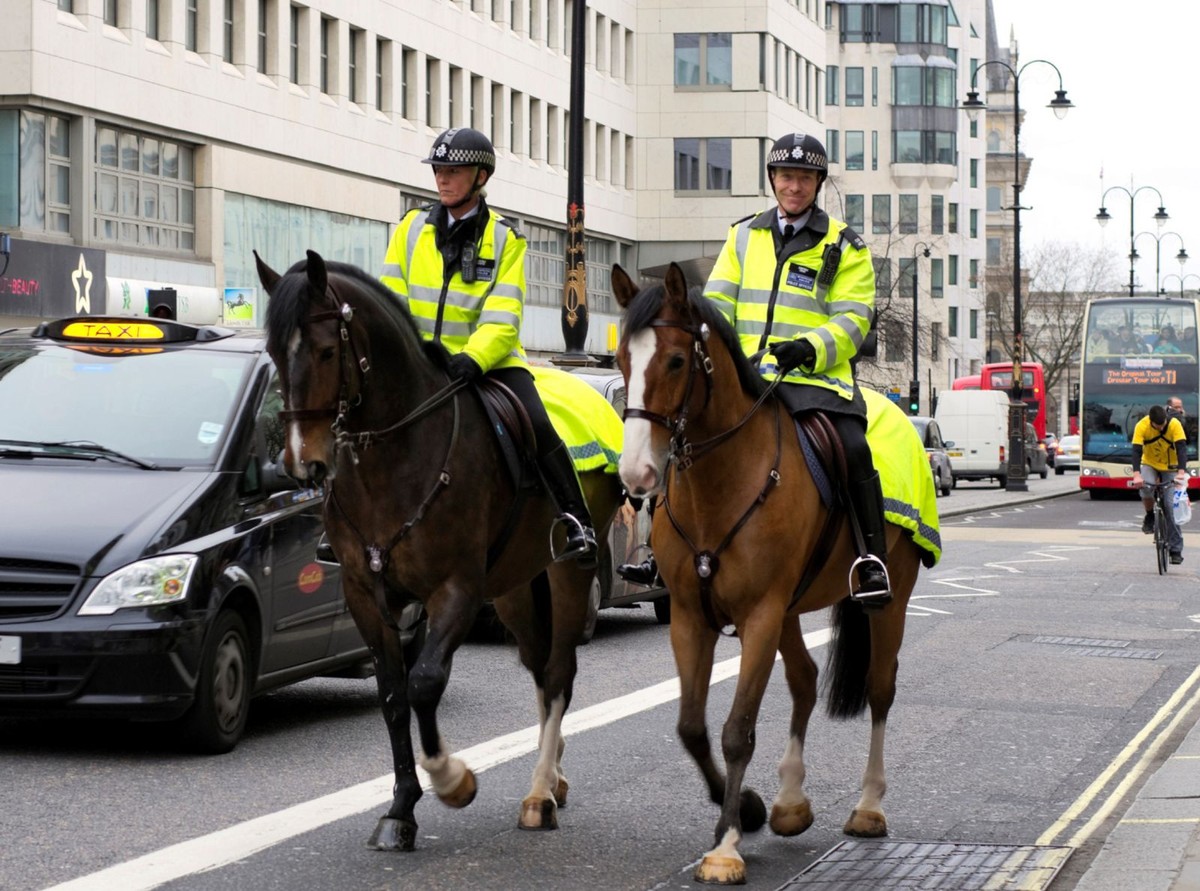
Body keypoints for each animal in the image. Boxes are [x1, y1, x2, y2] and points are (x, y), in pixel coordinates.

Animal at [258, 249, 624, 850]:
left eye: (327, 351)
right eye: (270, 353)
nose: (301, 462)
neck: (396, 456)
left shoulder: (456, 589)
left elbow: (425, 682)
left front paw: (452, 780)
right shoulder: (367, 594)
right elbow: (392, 694)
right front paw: (401, 807)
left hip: (568, 574)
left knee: (558, 674)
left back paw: (539, 794)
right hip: (518, 588)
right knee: (539, 669)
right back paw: (552, 777)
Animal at [609, 260, 936, 888]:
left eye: (677, 361)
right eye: (620, 360)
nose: (637, 474)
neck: (721, 482)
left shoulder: (758, 615)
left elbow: (737, 730)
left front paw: (726, 844)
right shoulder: (690, 616)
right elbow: (692, 727)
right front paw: (748, 807)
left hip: (890, 597)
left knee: (880, 689)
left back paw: (868, 807)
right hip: (789, 607)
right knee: (805, 679)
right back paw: (788, 803)